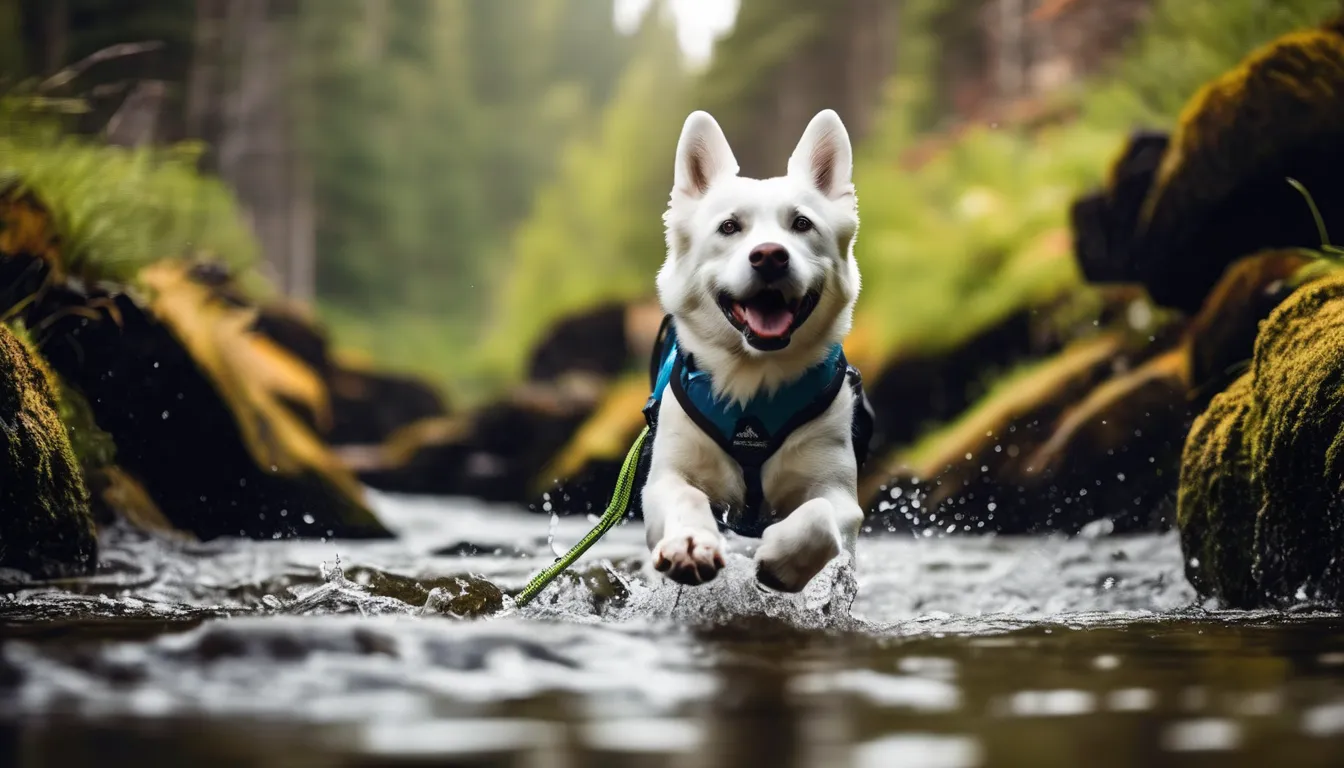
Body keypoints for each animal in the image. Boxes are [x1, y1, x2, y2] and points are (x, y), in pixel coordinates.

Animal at [634, 108, 865, 591]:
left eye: (801, 224)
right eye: (729, 227)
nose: (770, 256)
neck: (754, 378)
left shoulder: (839, 493)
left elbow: (819, 517)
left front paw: (782, 560)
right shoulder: (664, 478)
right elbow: (684, 498)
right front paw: (690, 545)